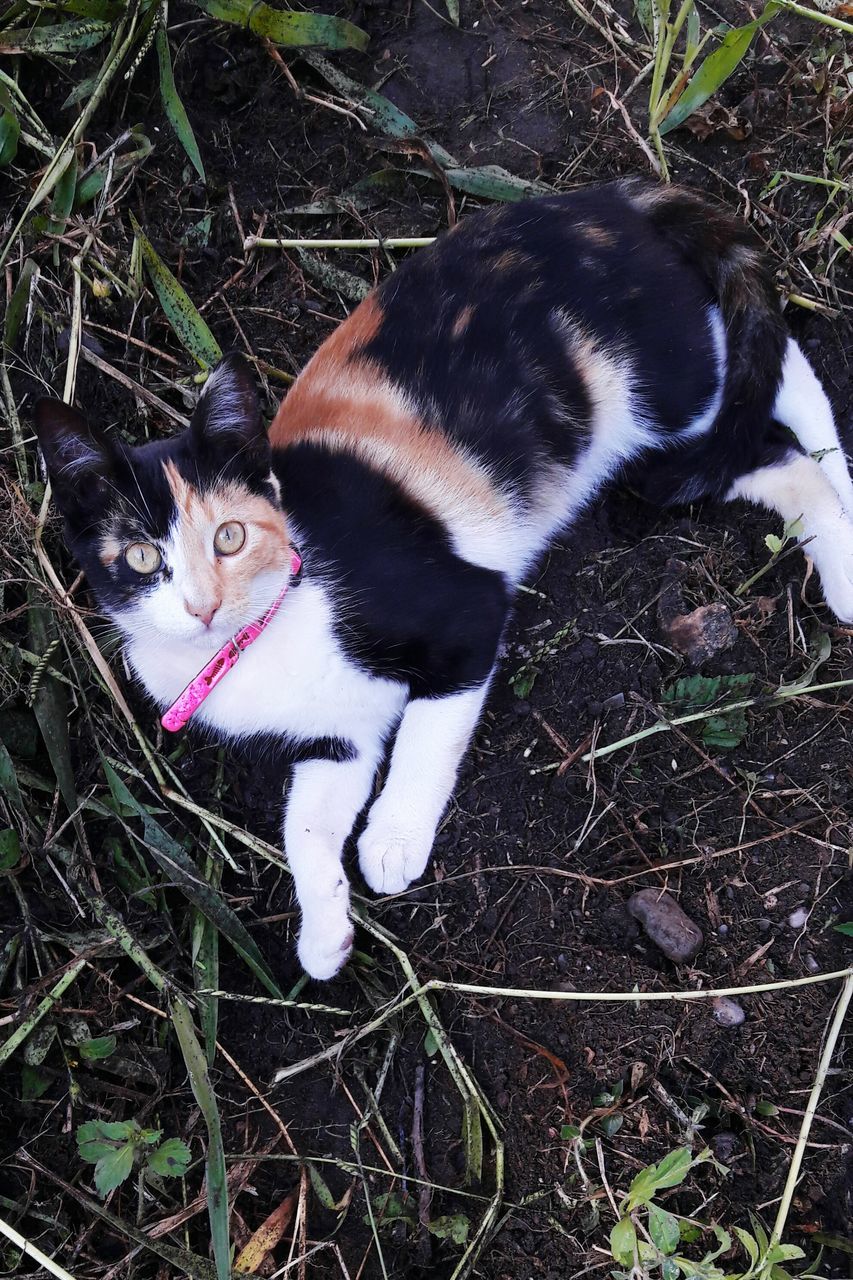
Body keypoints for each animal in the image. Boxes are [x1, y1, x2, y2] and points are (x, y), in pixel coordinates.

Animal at [31, 180, 850, 977]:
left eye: (229, 536)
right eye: (140, 557)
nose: (203, 607)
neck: (263, 636)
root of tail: (613, 199)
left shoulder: (466, 614)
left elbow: (429, 731)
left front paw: (391, 841)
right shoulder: (337, 740)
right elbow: (304, 825)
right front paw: (323, 936)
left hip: (662, 407)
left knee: (773, 423)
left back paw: (840, 558)